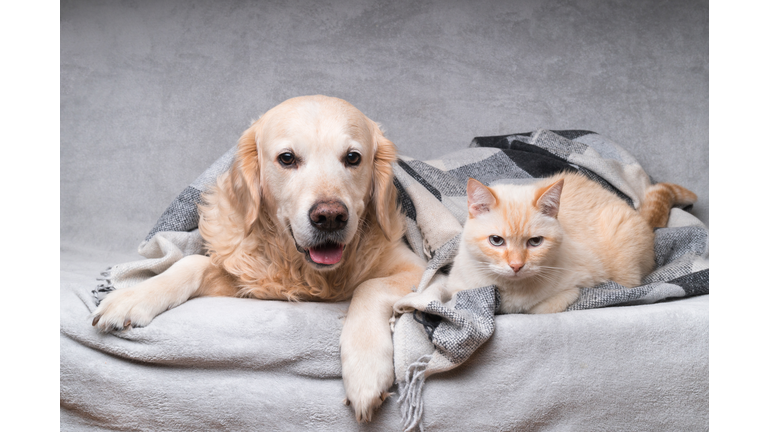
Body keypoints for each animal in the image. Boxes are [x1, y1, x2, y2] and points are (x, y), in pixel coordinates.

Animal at [91, 95, 426, 422]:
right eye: (287, 158)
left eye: (353, 158)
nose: (330, 217)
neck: (301, 267)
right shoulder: (248, 278)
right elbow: (191, 263)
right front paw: (134, 296)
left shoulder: (421, 271)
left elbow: (369, 287)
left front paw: (366, 369)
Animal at [404, 170, 700, 316]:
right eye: (496, 241)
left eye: (535, 242)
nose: (516, 265)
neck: (510, 290)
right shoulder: (457, 288)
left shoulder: (576, 286)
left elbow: (537, 309)